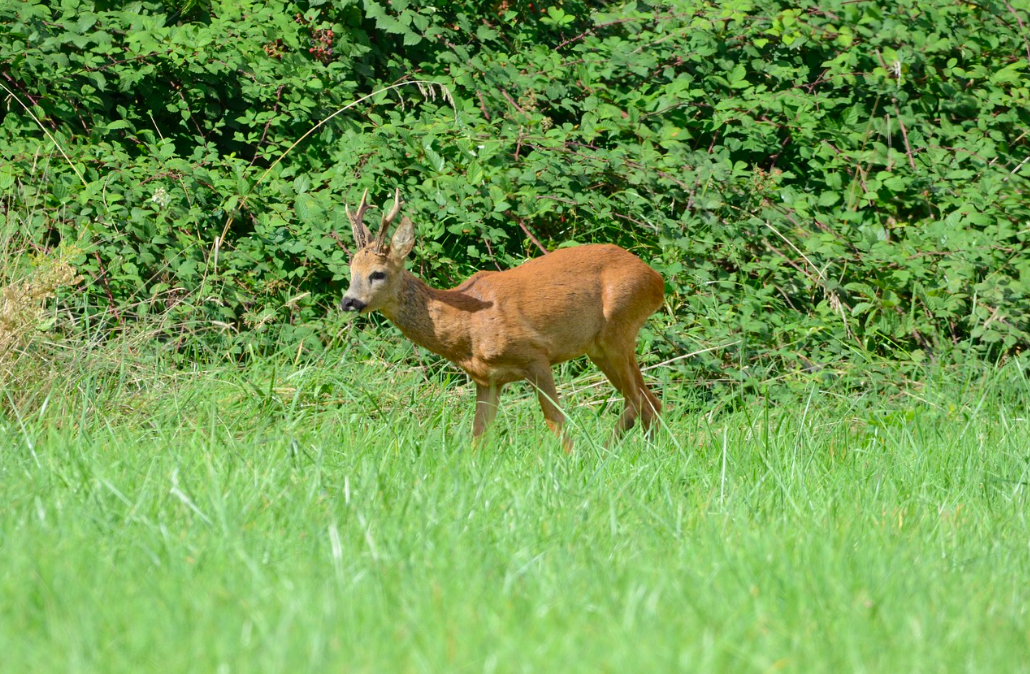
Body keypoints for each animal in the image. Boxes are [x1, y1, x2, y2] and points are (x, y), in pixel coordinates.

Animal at [341, 189, 663, 451]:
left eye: (378, 273)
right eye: (351, 269)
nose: (348, 301)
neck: (467, 326)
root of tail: (656, 280)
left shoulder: (536, 356)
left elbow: (554, 420)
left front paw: (571, 460)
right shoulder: (487, 380)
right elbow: (479, 436)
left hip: (617, 330)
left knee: (638, 399)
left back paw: (606, 452)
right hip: (600, 346)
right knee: (648, 400)